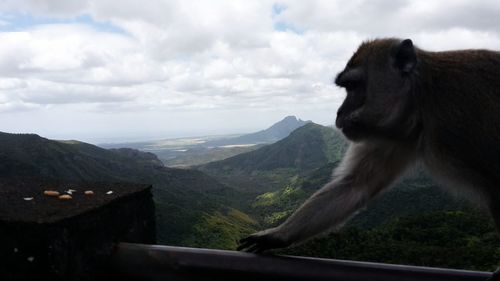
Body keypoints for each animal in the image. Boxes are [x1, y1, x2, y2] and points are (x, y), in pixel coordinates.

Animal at [238, 37, 500, 278]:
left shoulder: (459, 114)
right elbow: (355, 186)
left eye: (353, 86)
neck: (421, 100)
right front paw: (277, 235)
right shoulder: (395, 134)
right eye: (346, 88)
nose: (339, 112)